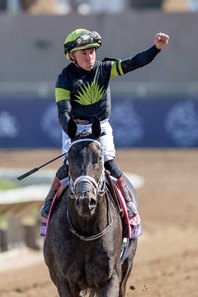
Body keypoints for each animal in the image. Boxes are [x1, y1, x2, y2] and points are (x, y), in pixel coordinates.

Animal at [43, 117, 138, 296]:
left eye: (99, 157)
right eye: (70, 157)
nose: (86, 201)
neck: (85, 231)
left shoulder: (111, 278)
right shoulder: (63, 280)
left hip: (127, 264)